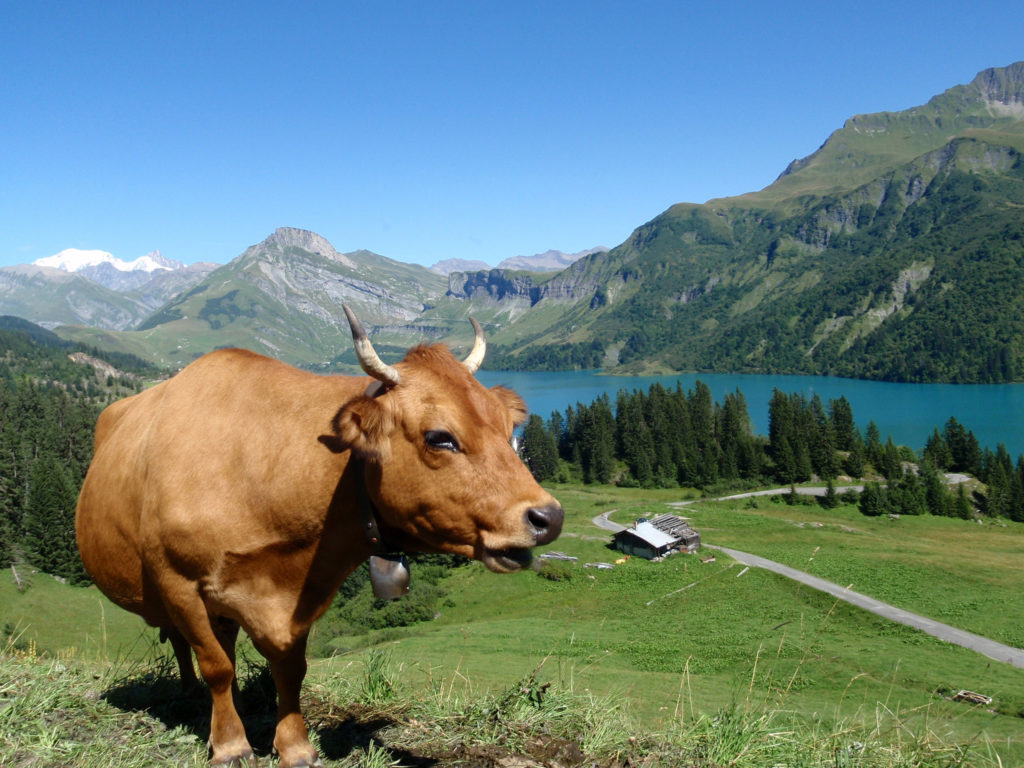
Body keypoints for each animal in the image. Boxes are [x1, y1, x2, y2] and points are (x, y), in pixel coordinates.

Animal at [75, 306, 563, 767]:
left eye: (508, 429)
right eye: (440, 437)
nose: (549, 517)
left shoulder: (302, 596)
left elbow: (290, 669)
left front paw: (295, 747)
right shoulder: (178, 582)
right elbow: (216, 665)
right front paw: (230, 746)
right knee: (187, 645)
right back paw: (194, 698)